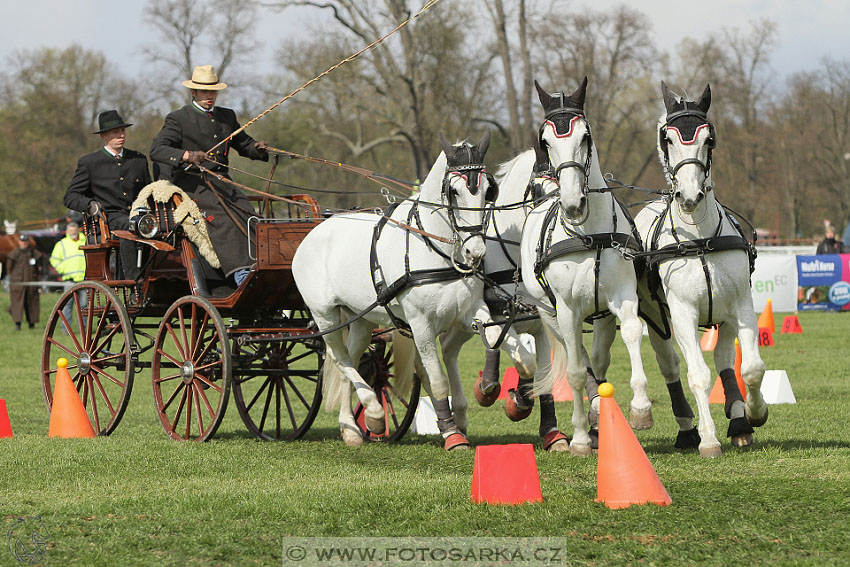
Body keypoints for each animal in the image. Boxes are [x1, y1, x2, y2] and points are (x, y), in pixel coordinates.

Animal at [292, 131, 490, 450]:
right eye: (455, 191)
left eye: (487, 189)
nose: (476, 252)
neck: (434, 249)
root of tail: (315, 231)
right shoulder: (420, 325)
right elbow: (437, 379)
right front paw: (451, 433)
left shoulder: (468, 311)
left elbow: (493, 336)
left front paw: (484, 391)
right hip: (325, 316)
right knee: (339, 358)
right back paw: (372, 412)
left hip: (360, 318)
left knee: (352, 360)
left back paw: (351, 427)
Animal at [516, 79, 648, 458]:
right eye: (546, 140)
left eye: (585, 136)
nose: (574, 203)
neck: (589, 235)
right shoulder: (567, 310)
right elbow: (575, 371)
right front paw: (577, 438)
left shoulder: (622, 297)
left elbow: (631, 334)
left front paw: (640, 407)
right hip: (551, 315)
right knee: (579, 356)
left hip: (600, 315)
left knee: (599, 359)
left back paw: (598, 412)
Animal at [632, 83, 764, 458]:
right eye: (668, 139)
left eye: (710, 138)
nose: (689, 196)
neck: (699, 236)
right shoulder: (683, 313)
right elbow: (698, 375)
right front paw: (708, 439)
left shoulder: (740, 305)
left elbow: (750, 368)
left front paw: (753, 413)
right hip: (658, 319)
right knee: (670, 365)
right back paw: (688, 429)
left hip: (724, 314)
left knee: (724, 357)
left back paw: (739, 420)